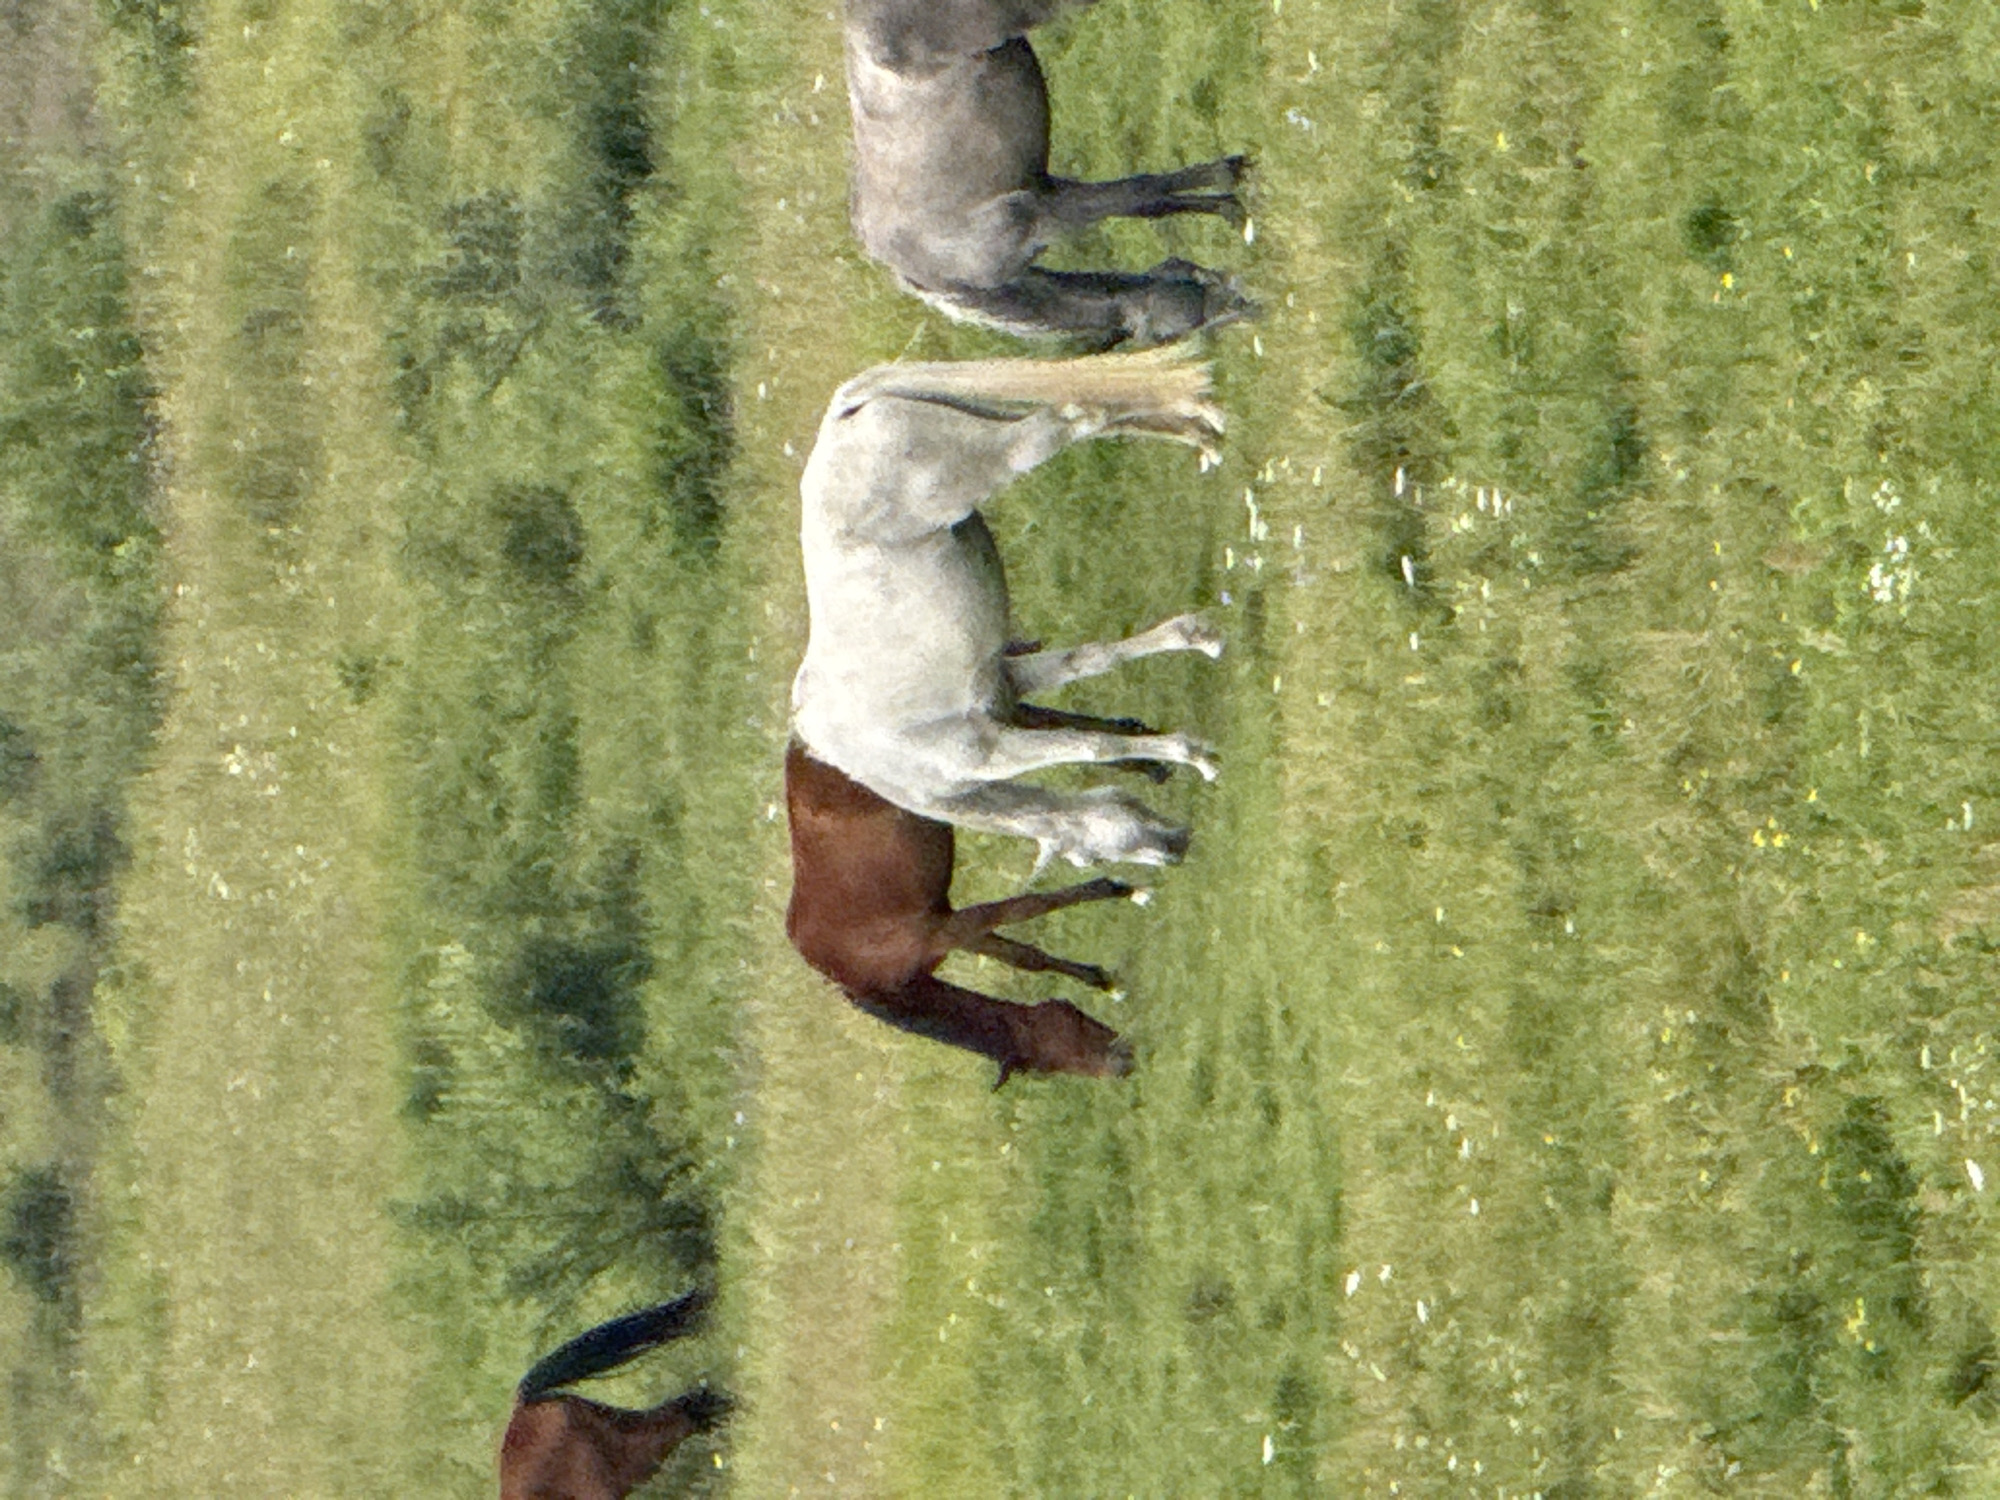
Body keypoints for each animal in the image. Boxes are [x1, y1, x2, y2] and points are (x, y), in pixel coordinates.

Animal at [787, 738, 1135, 1084]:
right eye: (1048, 1063)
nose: (1123, 1063)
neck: (869, 972)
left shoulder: (948, 928)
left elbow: (1027, 915)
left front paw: (1112, 889)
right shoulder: (952, 931)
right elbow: (1026, 951)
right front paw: (1098, 975)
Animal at [791, 348, 1226, 871]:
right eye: (1090, 860)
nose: (1177, 848)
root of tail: (842, 412)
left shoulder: (995, 750)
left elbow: (1095, 744)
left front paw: (1191, 752)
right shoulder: (1010, 683)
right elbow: (1092, 667)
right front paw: (1197, 639)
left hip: (1003, 452)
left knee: (1078, 417)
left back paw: (1201, 423)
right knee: (1094, 413)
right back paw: (1197, 429)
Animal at [843, 0, 1252, 346]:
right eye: (1168, 335)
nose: (1243, 305)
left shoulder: (1050, 205)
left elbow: (1141, 195)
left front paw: (1229, 190)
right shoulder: (1050, 207)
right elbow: (1144, 197)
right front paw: (1230, 194)